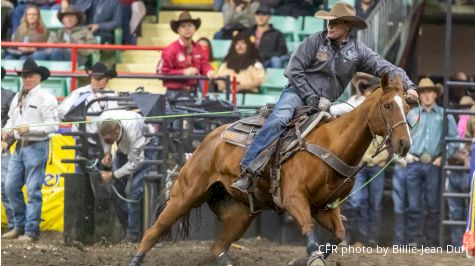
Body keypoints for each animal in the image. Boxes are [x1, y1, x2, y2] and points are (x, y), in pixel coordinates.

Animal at [129, 74, 412, 266]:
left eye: (408, 106)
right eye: (388, 105)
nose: (404, 143)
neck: (331, 144)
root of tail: (209, 140)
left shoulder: (325, 208)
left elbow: (340, 235)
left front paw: (305, 259)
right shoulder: (294, 199)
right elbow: (308, 229)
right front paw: (310, 258)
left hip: (239, 215)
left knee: (218, 246)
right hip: (186, 195)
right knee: (154, 231)